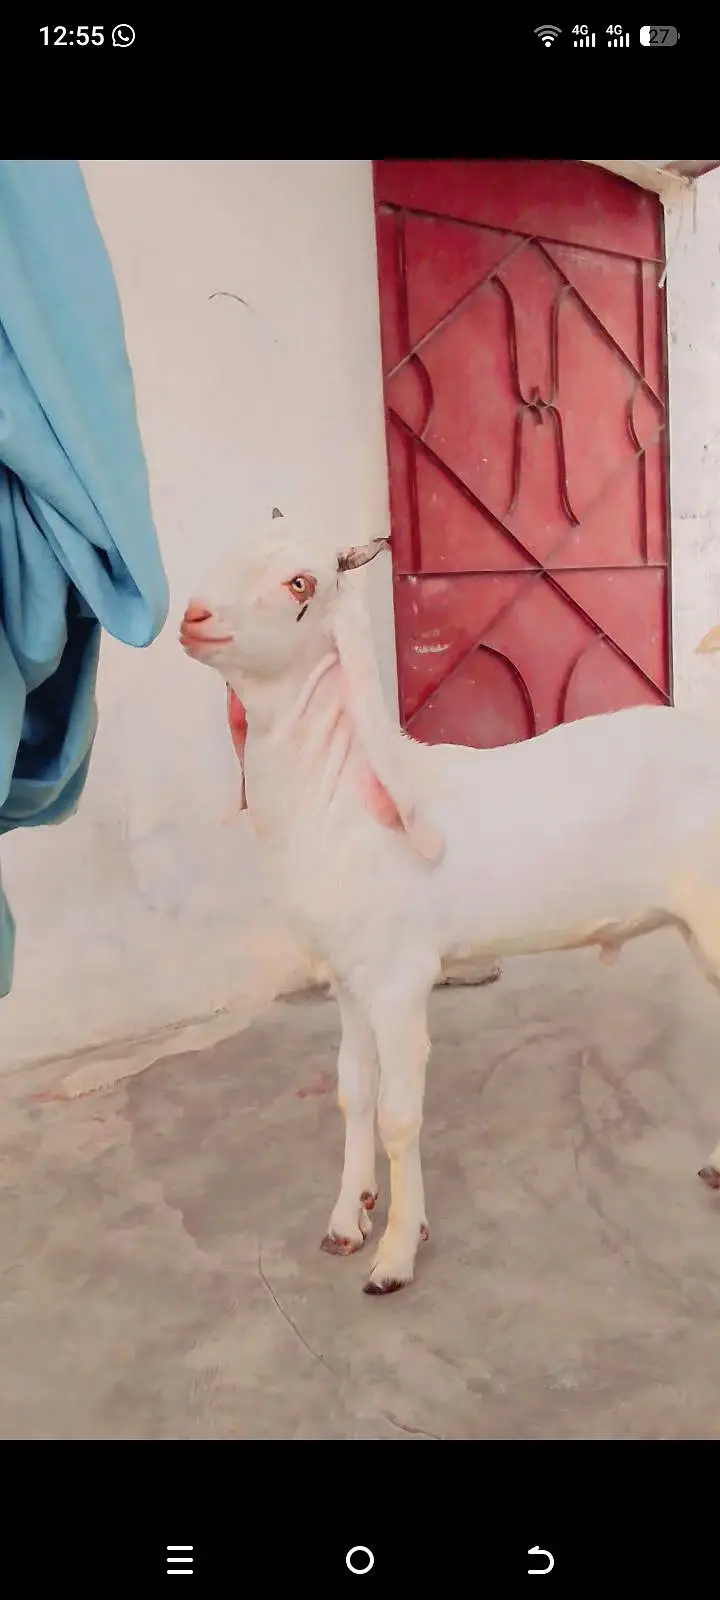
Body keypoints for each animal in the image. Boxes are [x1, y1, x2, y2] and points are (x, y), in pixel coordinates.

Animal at [181, 515, 720, 1295]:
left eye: (300, 583)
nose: (192, 618)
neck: (344, 794)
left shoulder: (401, 977)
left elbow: (400, 1115)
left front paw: (396, 1253)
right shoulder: (349, 977)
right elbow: (353, 1091)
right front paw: (348, 1219)